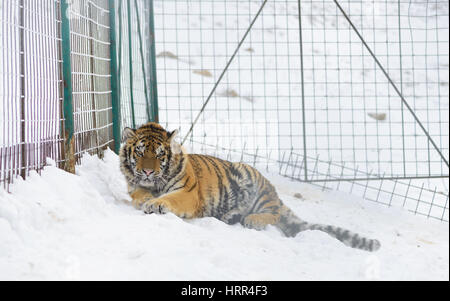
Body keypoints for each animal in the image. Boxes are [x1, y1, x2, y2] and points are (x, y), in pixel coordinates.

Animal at [118, 122, 380, 251]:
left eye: (159, 154)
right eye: (140, 152)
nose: (148, 171)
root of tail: (274, 194)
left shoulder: (189, 194)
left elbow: (169, 199)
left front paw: (155, 204)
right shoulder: (134, 184)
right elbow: (137, 192)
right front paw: (145, 198)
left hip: (251, 180)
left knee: (274, 214)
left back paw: (252, 219)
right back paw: (232, 216)